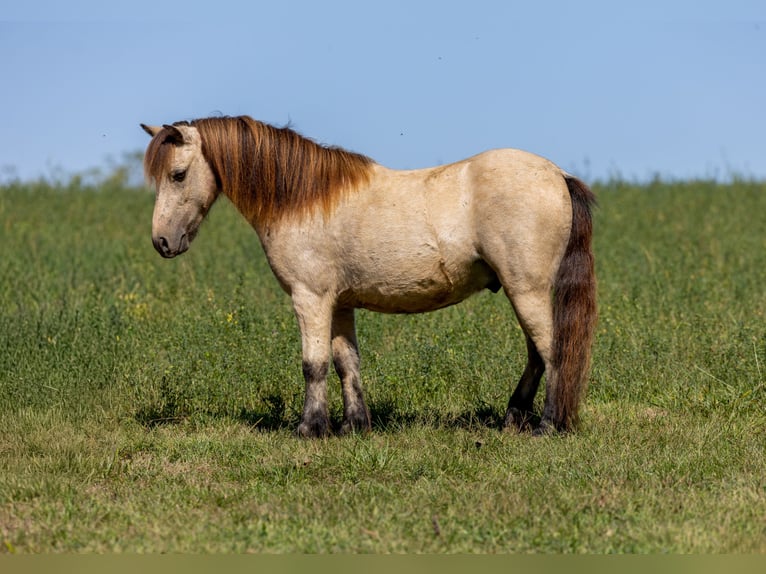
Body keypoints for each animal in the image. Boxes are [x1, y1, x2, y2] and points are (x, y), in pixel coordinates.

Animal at [141, 116, 597, 437]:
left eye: (178, 174)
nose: (161, 241)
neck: (301, 199)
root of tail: (558, 175)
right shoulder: (340, 303)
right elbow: (347, 362)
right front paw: (353, 425)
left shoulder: (310, 298)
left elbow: (314, 364)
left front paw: (310, 429)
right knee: (537, 354)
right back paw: (513, 418)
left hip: (527, 290)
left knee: (553, 352)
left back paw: (547, 426)